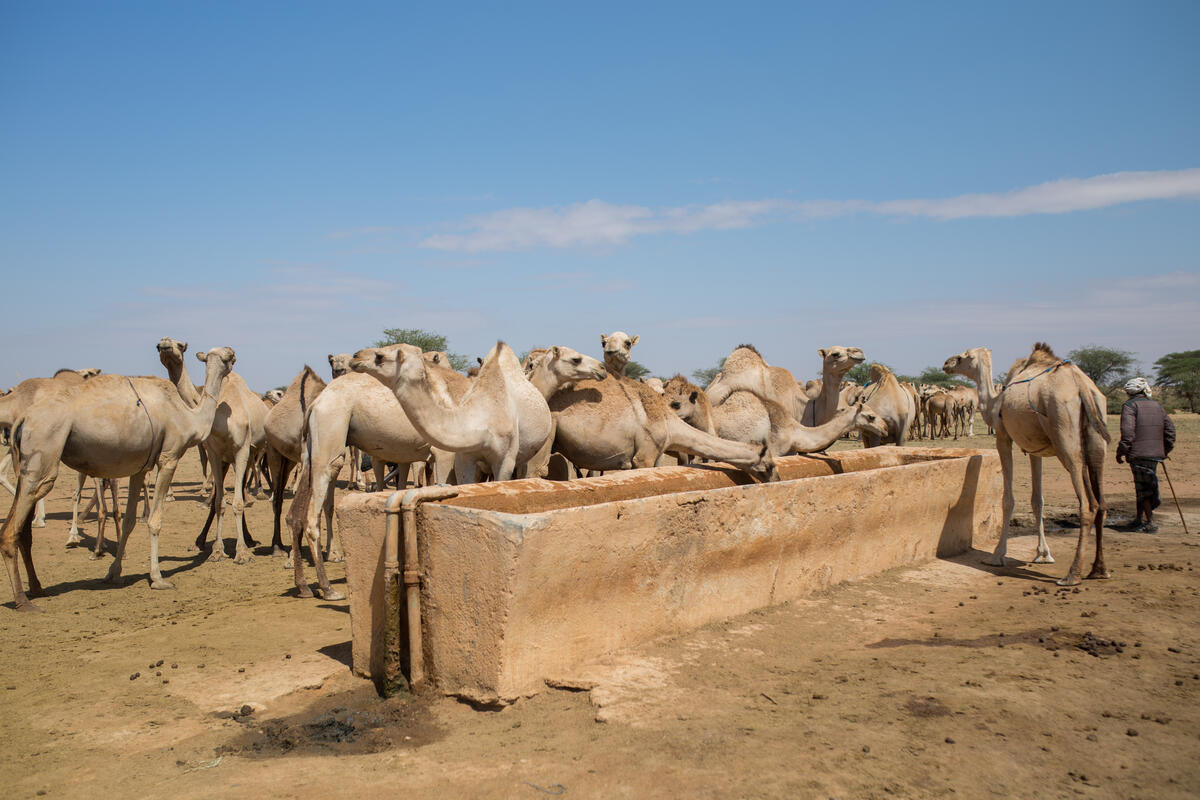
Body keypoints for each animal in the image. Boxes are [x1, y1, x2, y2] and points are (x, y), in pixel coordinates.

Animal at [1, 346, 236, 611]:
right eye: (226, 357)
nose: (234, 354)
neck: (188, 415)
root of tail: (23, 419)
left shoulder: (140, 468)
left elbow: (129, 520)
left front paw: (114, 572)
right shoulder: (169, 457)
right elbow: (154, 520)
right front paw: (158, 579)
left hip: (27, 463)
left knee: (23, 529)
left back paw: (37, 588)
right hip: (44, 452)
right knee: (11, 528)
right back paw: (22, 600)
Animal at [943, 344, 1110, 586]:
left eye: (965, 356)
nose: (946, 363)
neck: (994, 402)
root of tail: (1083, 388)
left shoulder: (1003, 436)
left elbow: (1008, 499)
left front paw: (997, 555)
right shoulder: (1035, 450)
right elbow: (1037, 500)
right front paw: (1044, 554)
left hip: (1064, 435)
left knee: (1088, 504)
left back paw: (1072, 575)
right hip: (1097, 442)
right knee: (1101, 502)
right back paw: (1099, 569)